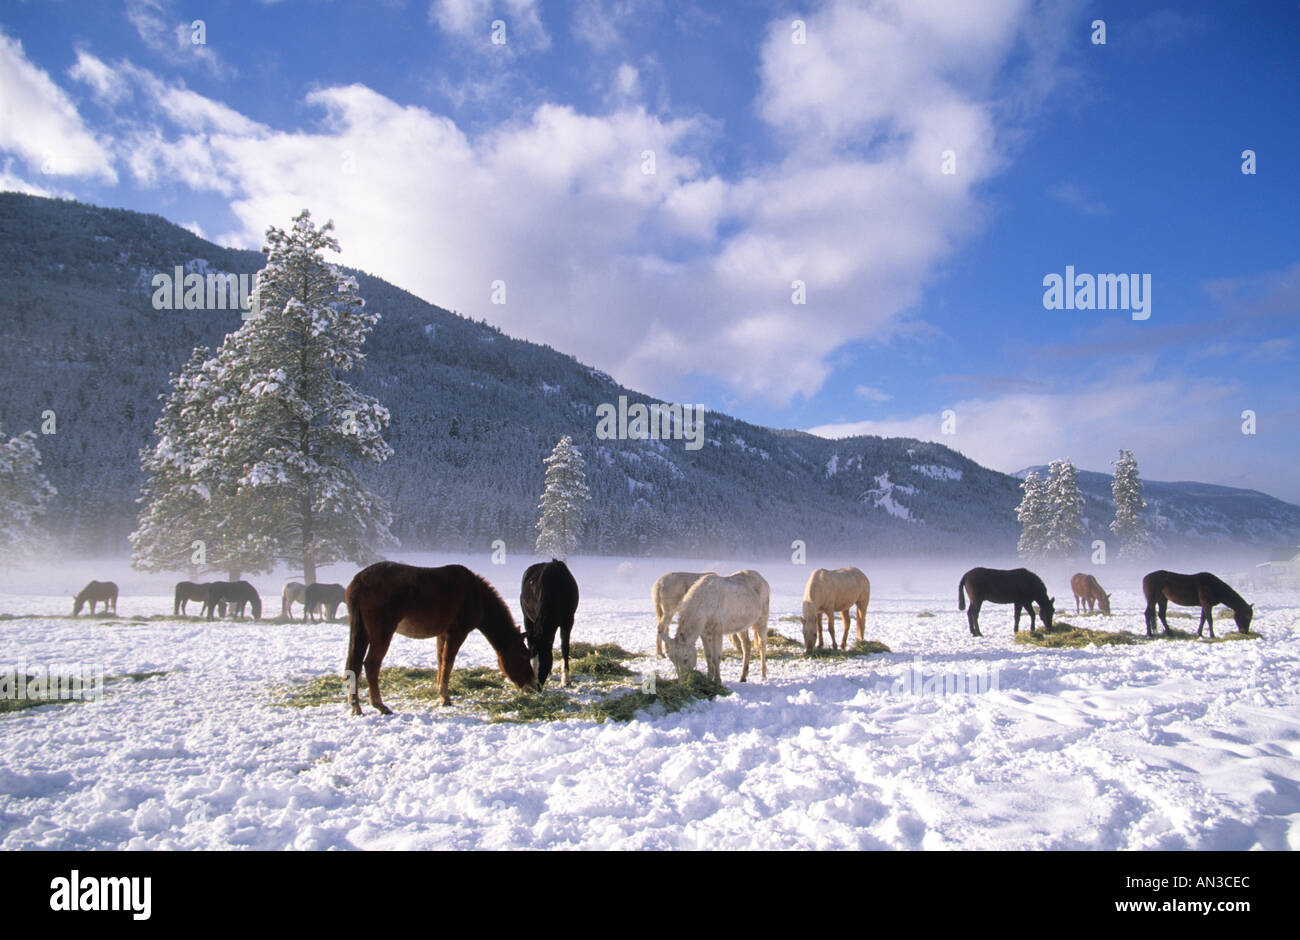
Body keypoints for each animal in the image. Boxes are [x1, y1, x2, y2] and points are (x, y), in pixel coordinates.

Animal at [345, 561, 538, 717]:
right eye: (524, 656)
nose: (533, 686)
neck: (477, 596)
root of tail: (359, 581)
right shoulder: (457, 633)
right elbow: (448, 662)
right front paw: (445, 697)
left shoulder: (442, 634)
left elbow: (440, 661)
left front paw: (439, 691)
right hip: (382, 633)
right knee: (371, 664)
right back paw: (379, 705)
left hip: (362, 633)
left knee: (354, 664)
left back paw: (355, 705)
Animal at [520, 559, 582, 691]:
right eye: (530, 662)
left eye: (544, 661)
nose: (534, 688)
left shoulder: (568, 621)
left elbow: (565, 647)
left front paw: (566, 680)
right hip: (527, 618)